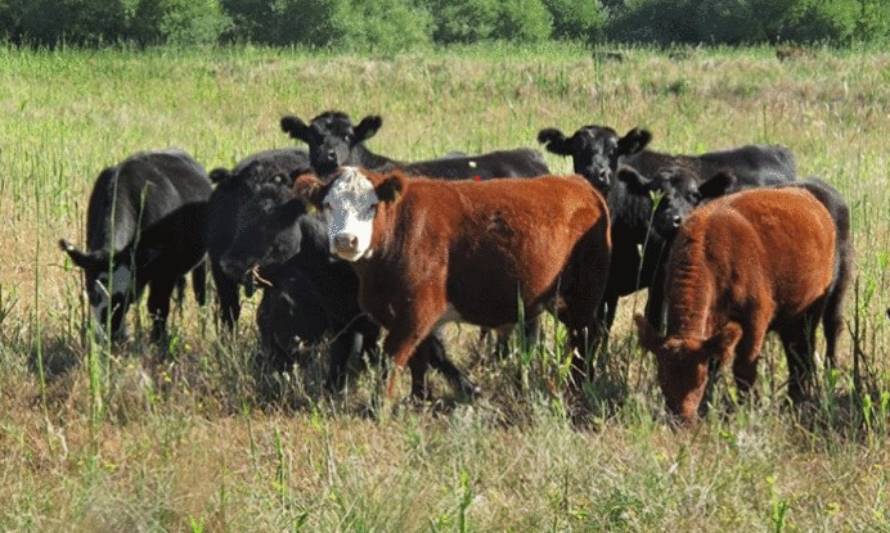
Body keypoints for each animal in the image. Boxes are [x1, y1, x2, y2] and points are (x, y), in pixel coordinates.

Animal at [59, 150, 212, 340]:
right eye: (93, 292)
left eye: (127, 297)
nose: (109, 334)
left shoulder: (165, 271)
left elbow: (157, 307)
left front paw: (158, 340)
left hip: (203, 261)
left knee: (201, 293)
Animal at [292, 168, 612, 396]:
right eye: (328, 205)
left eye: (371, 206)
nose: (346, 240)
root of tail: (580, 185)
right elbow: (422, 356)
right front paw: (420, 399)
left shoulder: (416, 309)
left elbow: (395, 356)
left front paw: (379, 407)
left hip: (584, 295)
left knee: (585, 339)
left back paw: (578, 386)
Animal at [636, 188, 844, 424]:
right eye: (662, 379)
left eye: (698, 381)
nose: (682, 419)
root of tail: (809, 199)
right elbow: (717, 363)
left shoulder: (755, 321)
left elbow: (744, 368)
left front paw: (749, 407)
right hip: (791, 321)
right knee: (796, 354)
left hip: (813, 313)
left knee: (806, 353)